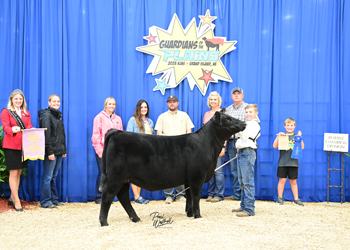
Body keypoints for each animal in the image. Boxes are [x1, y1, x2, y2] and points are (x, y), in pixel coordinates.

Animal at [98, 109, 246, 227]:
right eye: (228, 119)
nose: (244, 123)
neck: (209, 144)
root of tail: (117, 132)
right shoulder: (197, 176)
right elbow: (196, 196)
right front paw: (198, 215)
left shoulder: (188, 179)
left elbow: (189, 196)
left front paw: (189, 213)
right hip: (116, 176)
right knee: (108, 195)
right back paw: (104, 222)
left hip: (125, 179)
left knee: (123, 197)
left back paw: (136, 218)